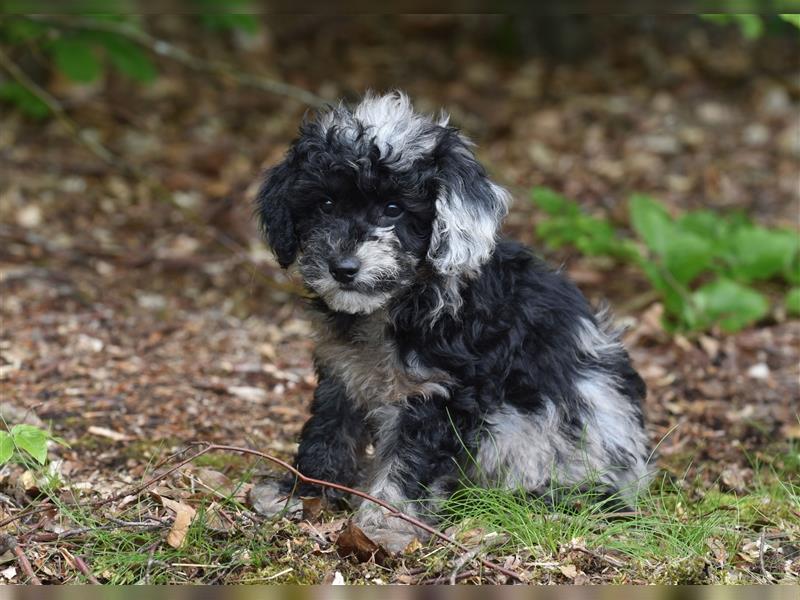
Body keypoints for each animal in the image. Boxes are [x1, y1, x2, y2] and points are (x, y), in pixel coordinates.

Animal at [253, 90, 652, 552]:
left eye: (393, 209)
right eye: (326, 203)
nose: (343, 268)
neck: (398, 302)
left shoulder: (439, 393)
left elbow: (409, 462)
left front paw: (382, 522)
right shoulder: (342, 375)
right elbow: (326, 434)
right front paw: (301, 492)